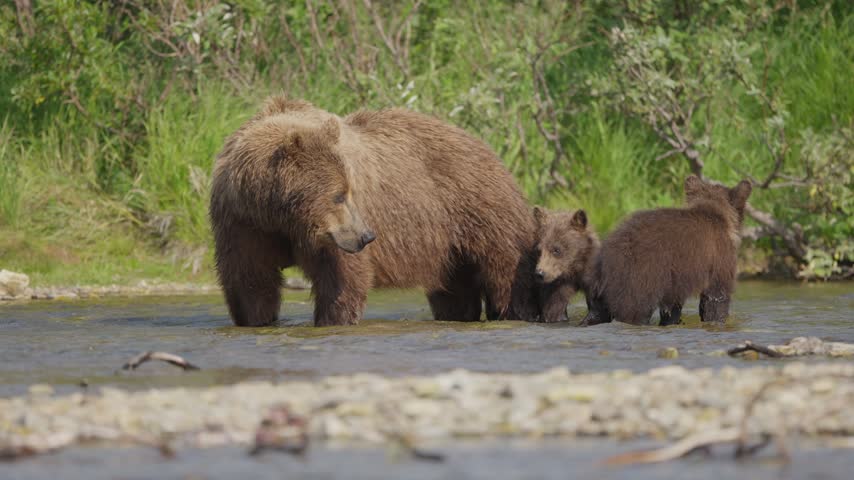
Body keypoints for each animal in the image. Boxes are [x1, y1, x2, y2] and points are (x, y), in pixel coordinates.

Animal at [209, 96, 541, 326]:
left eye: (349, 190)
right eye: (338, 196)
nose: (367, 236)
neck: (280, 216)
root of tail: (484, 145)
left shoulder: (330, 238)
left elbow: (341, 280)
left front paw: (334, 319)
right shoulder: (242, 223)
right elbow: (251, 281)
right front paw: (257, 319)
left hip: (479, 209)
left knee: (504, 273)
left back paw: (514, 311)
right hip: (446, 246)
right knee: (454, 290)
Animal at [581, 175, 753, 326]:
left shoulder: (674, 280)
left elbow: (672, 307)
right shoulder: (719, 257)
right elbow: (716, 295)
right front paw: (716, 320)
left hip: (598, 286)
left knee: (597, 312)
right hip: (639, 278)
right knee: (634, 310)